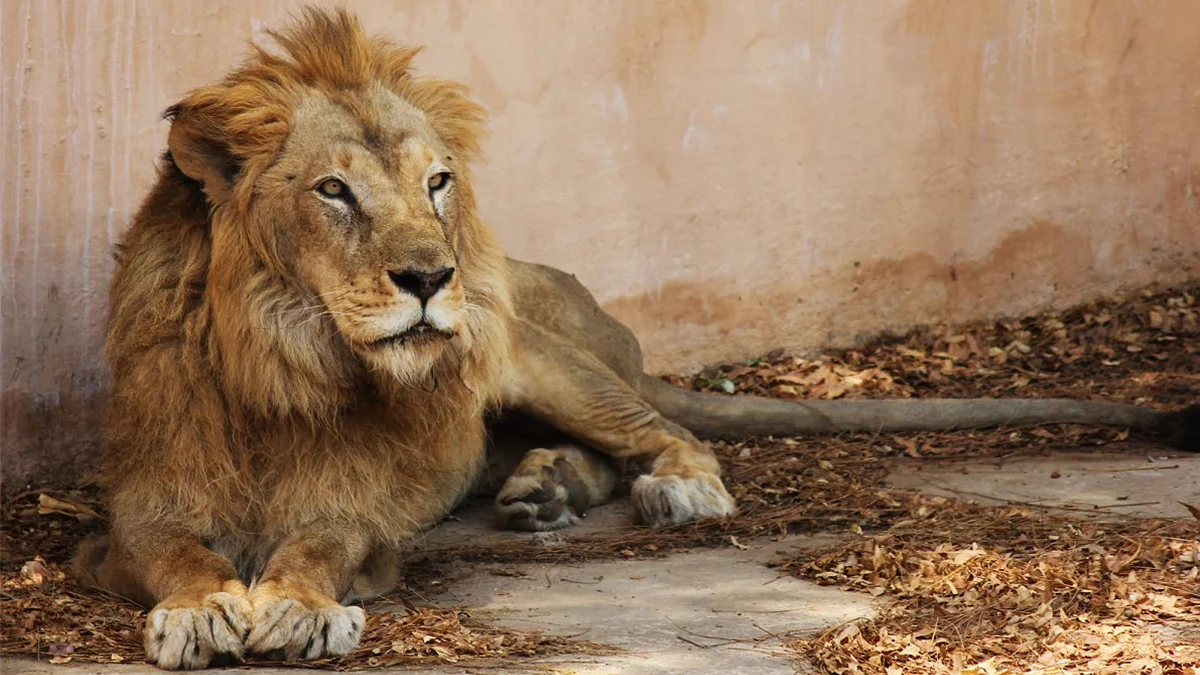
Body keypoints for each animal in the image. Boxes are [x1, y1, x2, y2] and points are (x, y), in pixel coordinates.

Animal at [79, 6, 1195, 667]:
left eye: (436, 181)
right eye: (334, 191)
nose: (432, 277)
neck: (287, 364)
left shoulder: (362, 511)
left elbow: (320, 542)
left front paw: (302, 607)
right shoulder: (139, 507)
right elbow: (177, 552)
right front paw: (203, 607)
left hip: (530, 352)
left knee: (662, 433)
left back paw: (670, 489)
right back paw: (543, 490)